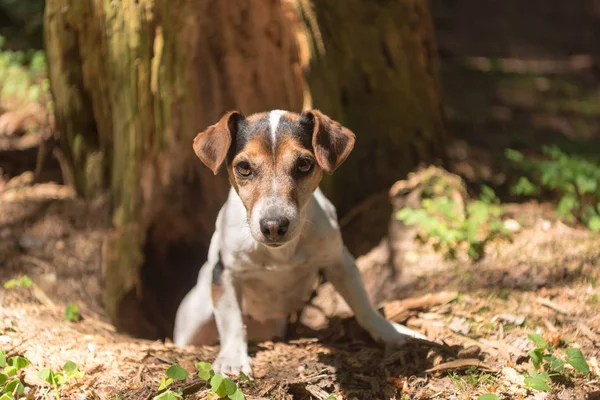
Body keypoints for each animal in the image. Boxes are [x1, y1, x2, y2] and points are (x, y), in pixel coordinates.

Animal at [173, 109, 426, 378]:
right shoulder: (226, 274)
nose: (273, 226)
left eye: (304, 164)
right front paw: (232, 359)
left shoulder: (339, 262)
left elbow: (362, 304)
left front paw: (389, 331)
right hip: (194, 322)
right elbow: (231, 321)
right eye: (243, 168)